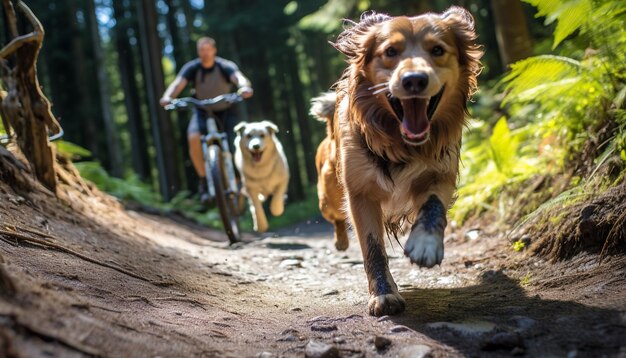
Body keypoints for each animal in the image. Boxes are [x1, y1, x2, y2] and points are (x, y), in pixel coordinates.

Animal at [310, 7, 480, 316]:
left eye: (438, 50)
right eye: (390, 51)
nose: (414, 80)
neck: (401, 144)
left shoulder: (441, 174)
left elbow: (433, 206)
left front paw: (425, 244)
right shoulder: (360, 194)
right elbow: (373, 248)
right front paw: (384, 294)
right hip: (329, 194)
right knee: (336, 217)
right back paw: (340, 240)